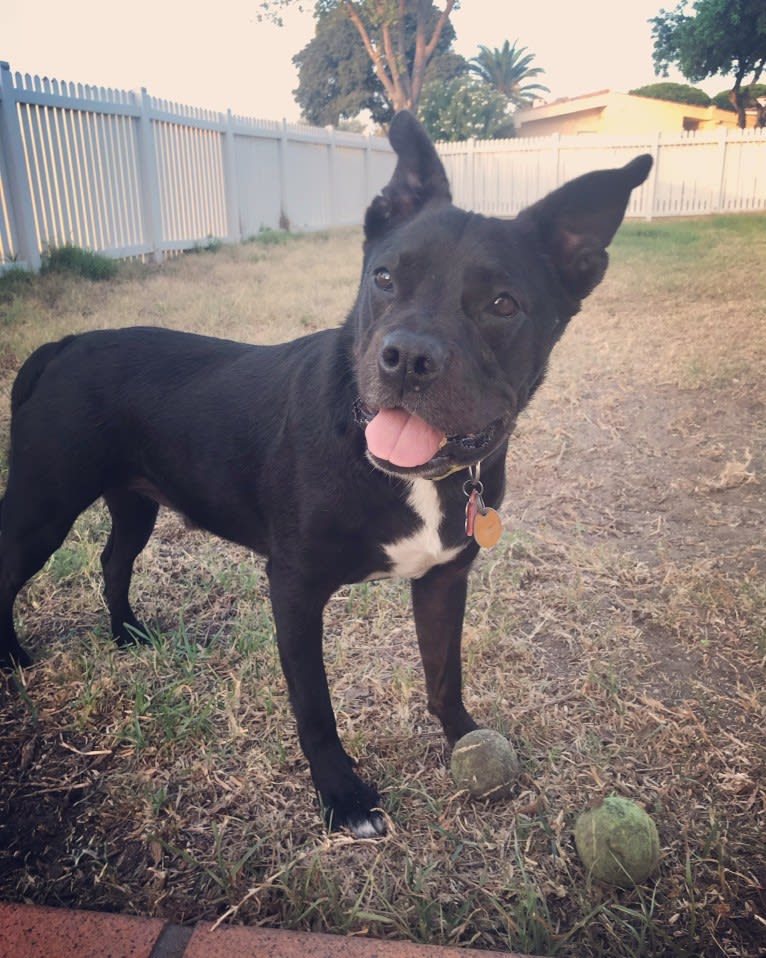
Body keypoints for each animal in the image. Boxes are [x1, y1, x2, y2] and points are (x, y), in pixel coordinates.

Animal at [0, 112, 652, 836]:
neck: (410, 475)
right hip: (42, 507)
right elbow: (315, 708)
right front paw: (343, 797)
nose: (407, 357)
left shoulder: (443, 581)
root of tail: (62, 346)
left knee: (114, 561)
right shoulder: (294, 587)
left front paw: (463, 738)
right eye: (384, 278)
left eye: (504, 304)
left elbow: (444, 671)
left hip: (134, 501)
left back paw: (127, 636)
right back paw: (16, 660)